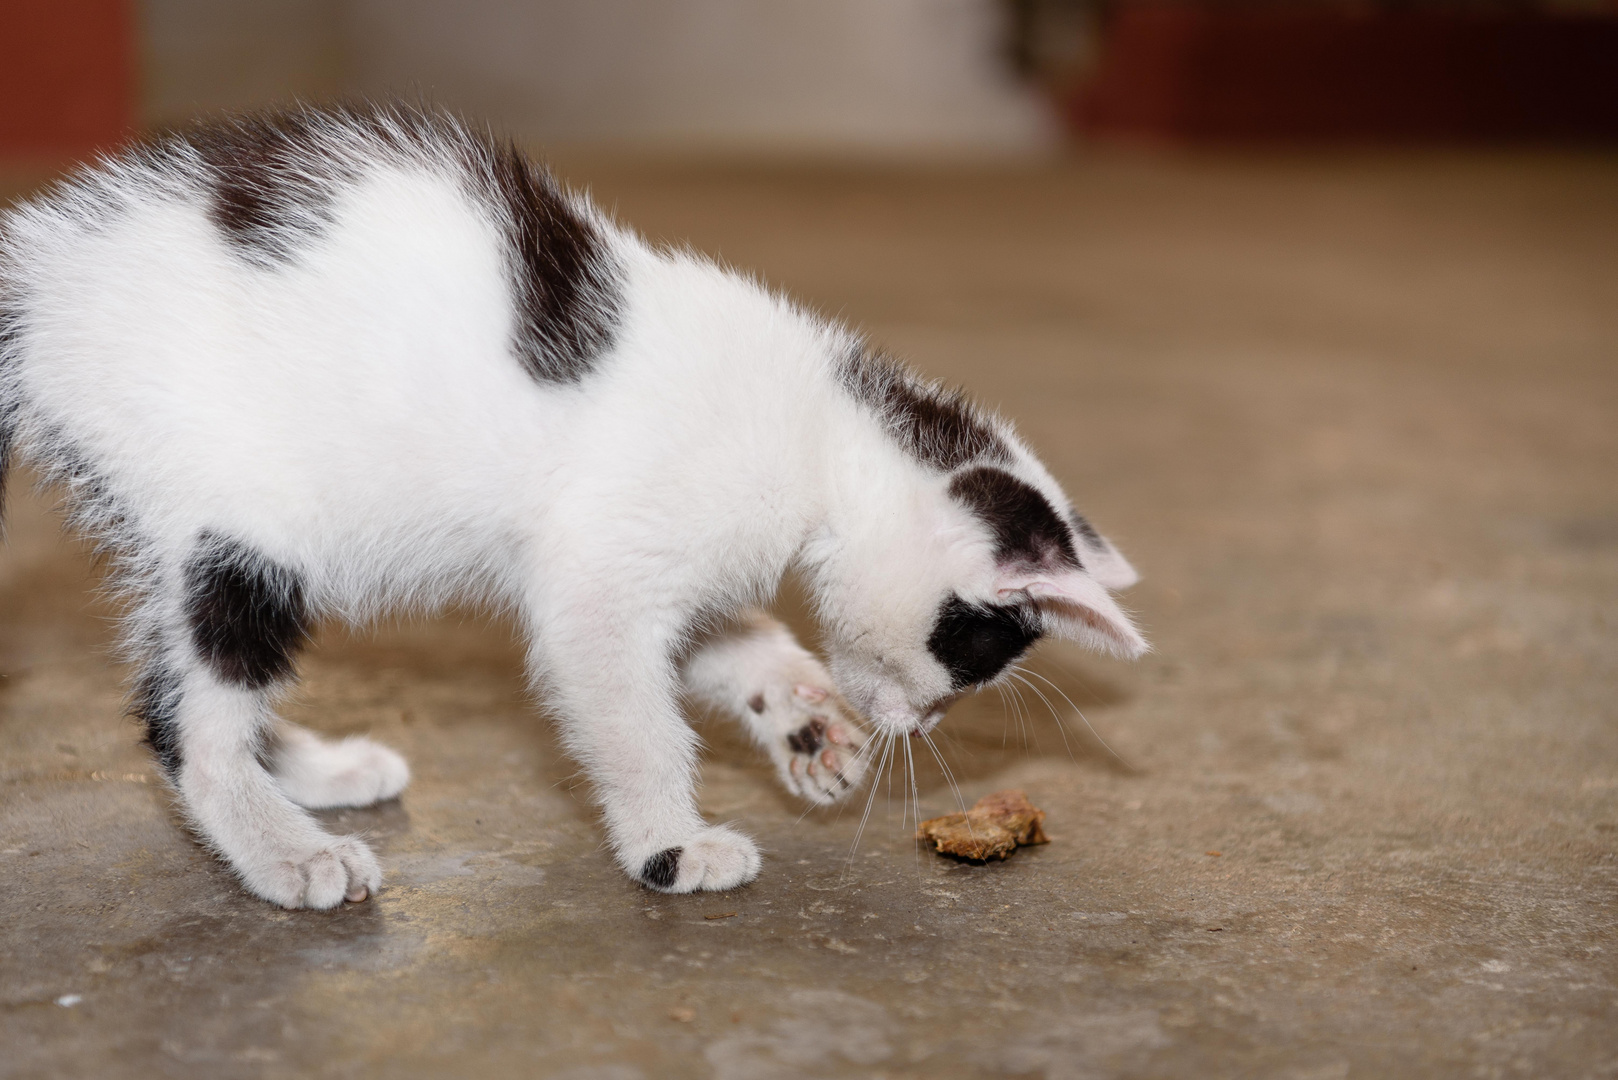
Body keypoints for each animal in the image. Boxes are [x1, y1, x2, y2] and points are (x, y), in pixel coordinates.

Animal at [0, 103, 1152, 913]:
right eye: (969, 653)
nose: (921, 722)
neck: (821, 433)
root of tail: (39, 274)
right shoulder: (601, 573)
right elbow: (629, 712)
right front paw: (670, 844)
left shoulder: (666, 554)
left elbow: (728, 638)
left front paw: (803, 719)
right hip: (235, 510)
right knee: (184, 719)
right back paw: (286, 846)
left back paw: (313, 774)